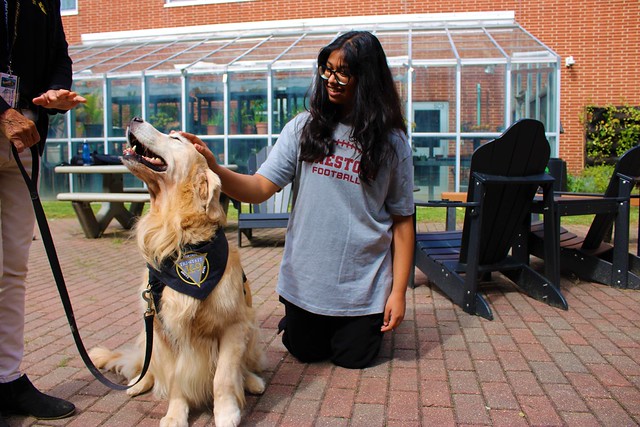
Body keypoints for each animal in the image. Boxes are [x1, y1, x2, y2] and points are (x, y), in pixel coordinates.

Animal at [89, 118, 264, 427]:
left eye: (175, 139)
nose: (134, 118)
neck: (178, 236)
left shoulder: (233, 325)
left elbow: (224, 377)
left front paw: (226, 412)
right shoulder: (165, 329)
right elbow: (174, 380)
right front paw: (175, 415)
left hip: (251, 328)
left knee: (243, 367)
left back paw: (253, 381)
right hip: (149, 336)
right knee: (148, 368)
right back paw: (138, 383)